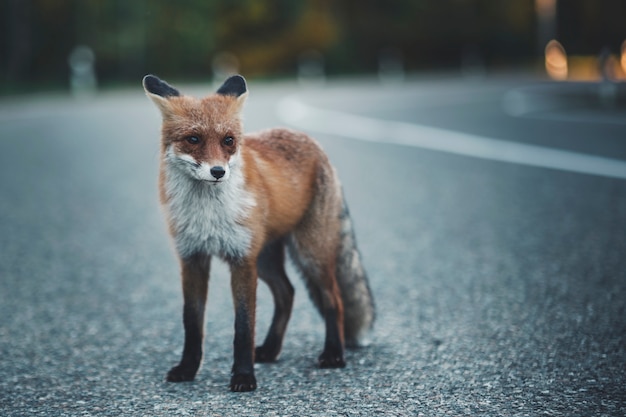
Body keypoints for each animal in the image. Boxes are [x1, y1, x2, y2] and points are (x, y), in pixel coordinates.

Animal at [141, 74, 372, 390]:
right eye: (193, 139)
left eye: (228, 141)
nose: (218, 172)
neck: (208, 214)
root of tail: (309, 140)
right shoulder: (192, 258)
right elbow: (192, 323)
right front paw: (188, 369)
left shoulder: (242, 260)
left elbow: (243, 327)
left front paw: (243, 376)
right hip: (266, 260)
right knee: (288, 293)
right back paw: (271, 349)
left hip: (309, 253)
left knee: (333, 299)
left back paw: (333, 354)